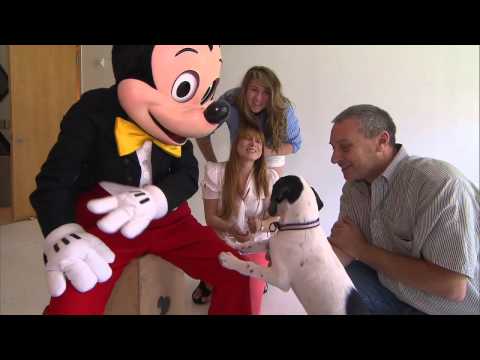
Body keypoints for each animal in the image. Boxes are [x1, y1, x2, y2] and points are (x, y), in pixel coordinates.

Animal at [219, 175, 370, 316]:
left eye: (273, 189)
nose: (263, 201)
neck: (299, 226)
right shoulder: (271, 244)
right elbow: (250, 245)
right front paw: (232, 243)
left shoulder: (280, 279)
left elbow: (251, 267)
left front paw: (230, 261)